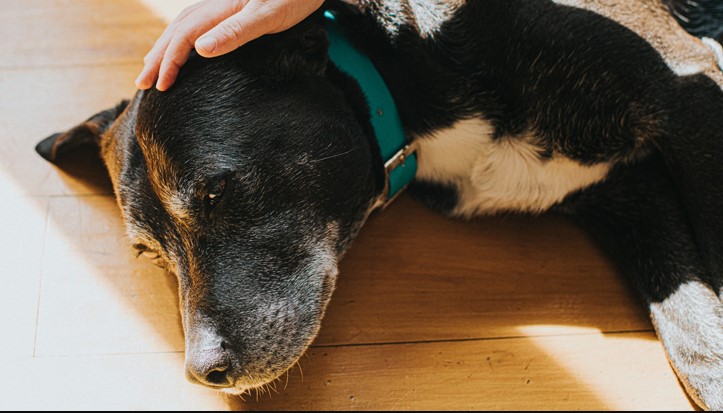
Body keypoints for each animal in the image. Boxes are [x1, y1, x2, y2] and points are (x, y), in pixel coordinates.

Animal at [35, 0, 723, 409]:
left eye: (215, 190)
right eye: (149, 253)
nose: (203, 372)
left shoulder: (686, 88)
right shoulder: (626, 190)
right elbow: (692, 330)